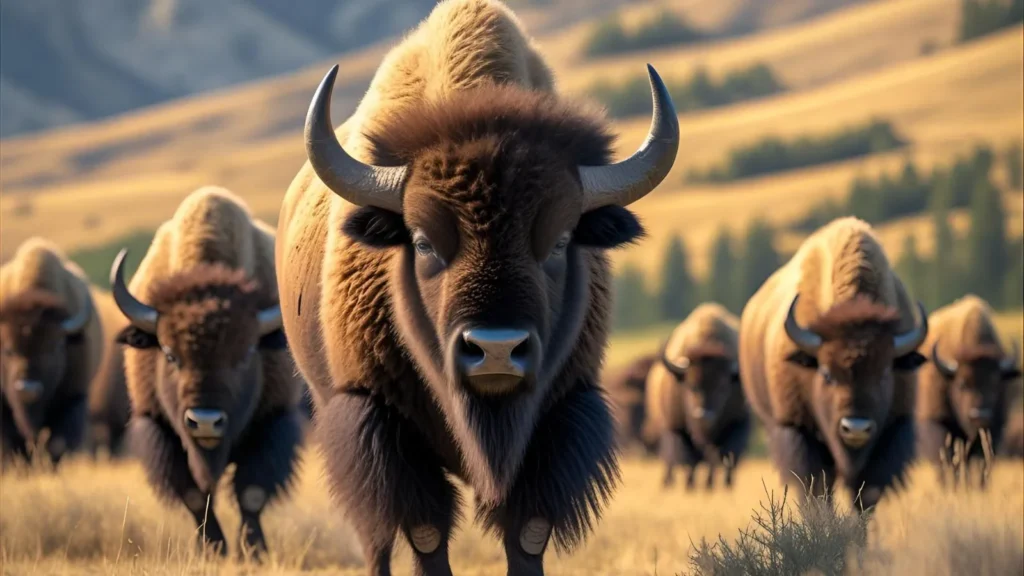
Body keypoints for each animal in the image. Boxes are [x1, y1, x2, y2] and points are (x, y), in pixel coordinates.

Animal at [110, 186, 305, 557]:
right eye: (169, 354)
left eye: (246, 353)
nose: (204, 421)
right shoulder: (162, 429)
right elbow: (195, 497)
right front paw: (213, 549)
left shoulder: (272, 422)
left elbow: (251, 493)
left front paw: (254, 552)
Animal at [275, 0, 679, 574]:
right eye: (422, 242)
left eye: (560, 241)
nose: (496, 350)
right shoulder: (385, 429)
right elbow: (424, 533)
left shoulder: (556, 424)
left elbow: (527, 534)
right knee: (376, 535)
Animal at [643, 303, 750, 490]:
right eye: (690, 386)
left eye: (723, 387)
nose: (703, 416)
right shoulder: (677, 428)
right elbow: (688, 458)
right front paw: (690, 485)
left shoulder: (740, 423)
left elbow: (727, 454)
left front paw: (724, 485)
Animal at [738, 217, 928, 508]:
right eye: (826, 374)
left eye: (885, 373)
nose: (856, 428)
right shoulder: (798, 432)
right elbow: (815, 490)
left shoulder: (893, 431)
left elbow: (866, 496)